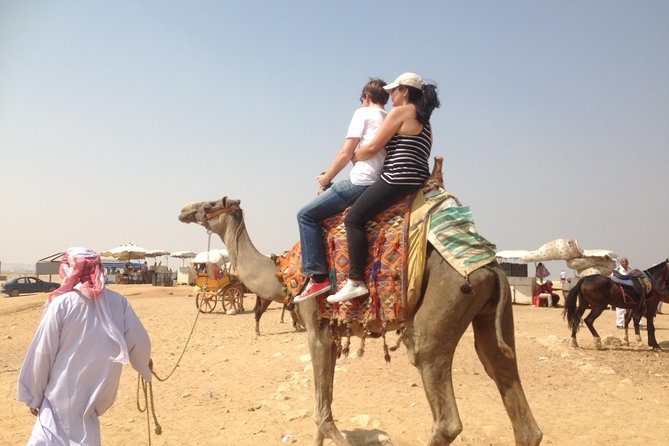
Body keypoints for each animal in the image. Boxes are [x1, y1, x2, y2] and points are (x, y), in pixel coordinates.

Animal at [178, 195, 541, 445]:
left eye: (210, 203)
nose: (184, 209)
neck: (281, 273)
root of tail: (490, 267)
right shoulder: (331, 332)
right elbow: (322, 409)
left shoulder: (315, 325)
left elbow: (323, 413)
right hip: (489, 314)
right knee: (506, 379)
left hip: (440, 309)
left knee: (445, 411)